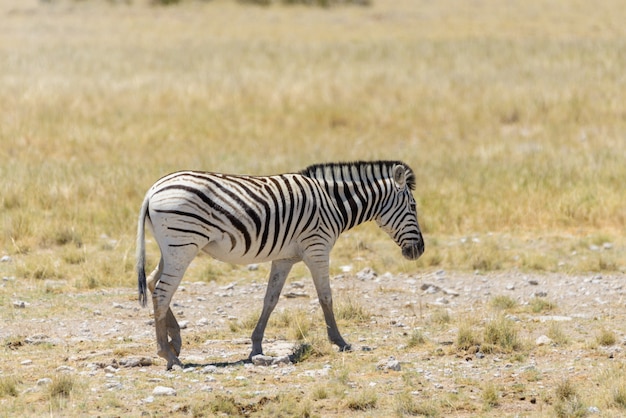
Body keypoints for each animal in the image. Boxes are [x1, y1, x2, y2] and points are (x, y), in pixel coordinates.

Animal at [136, 160, 424, 370]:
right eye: (412, 206)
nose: (419, 251)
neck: (333, 203)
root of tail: (152, 190)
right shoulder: (317, 248)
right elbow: (326, 297)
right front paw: (340, 342)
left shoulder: (284, 257)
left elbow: (270, 300)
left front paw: (256, 347)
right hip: (183, 245)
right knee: (162, 292)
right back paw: (168, 354)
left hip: (171, 248)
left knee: (152, 282)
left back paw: (175, 341)